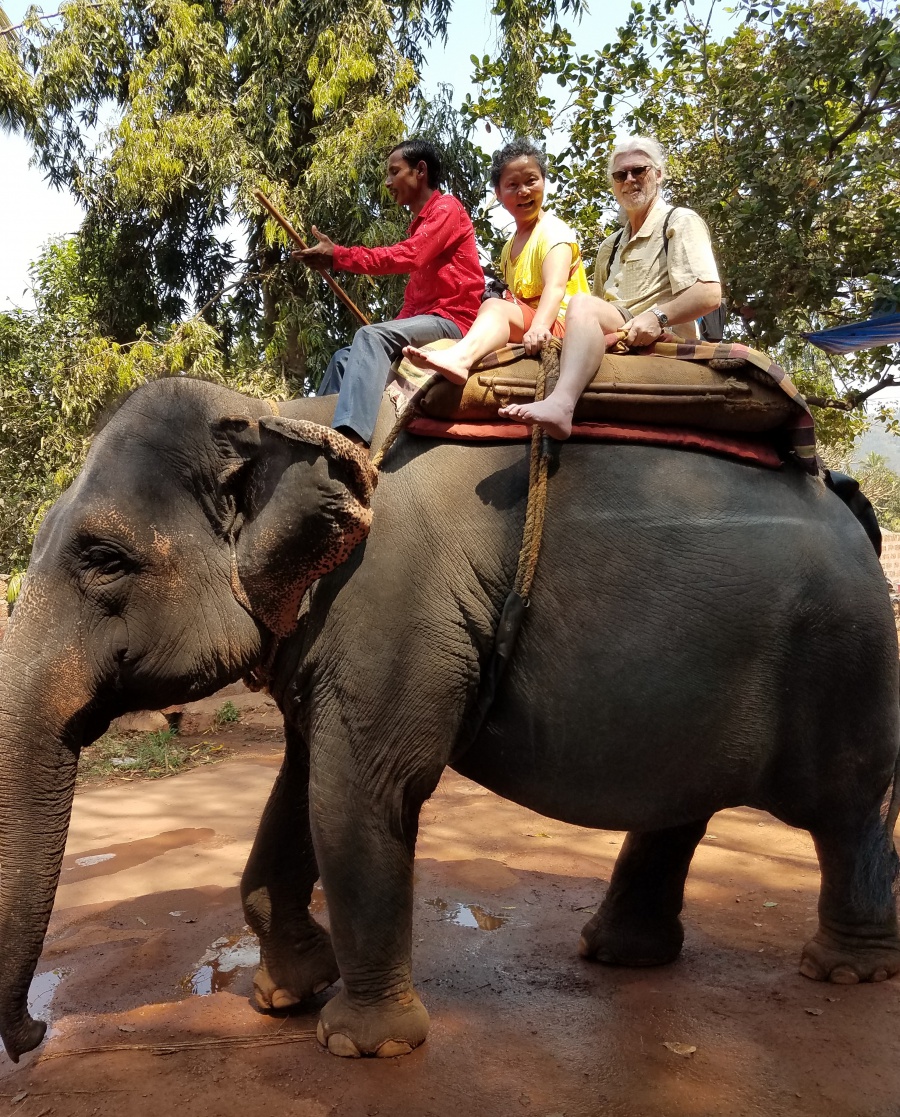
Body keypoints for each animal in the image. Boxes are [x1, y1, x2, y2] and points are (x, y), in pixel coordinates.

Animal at [1, 373, 899, 1064]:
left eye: (104, 559)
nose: (35, 1033)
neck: (278, 413)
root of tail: (844, 499)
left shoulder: (386, 604)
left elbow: (362, 792)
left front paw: (362, 1044)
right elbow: (297, 789)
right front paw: (286, 994)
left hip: (844, 655)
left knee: (848, 809)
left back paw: (848, 970)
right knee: (684, 806)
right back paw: (619, 953)